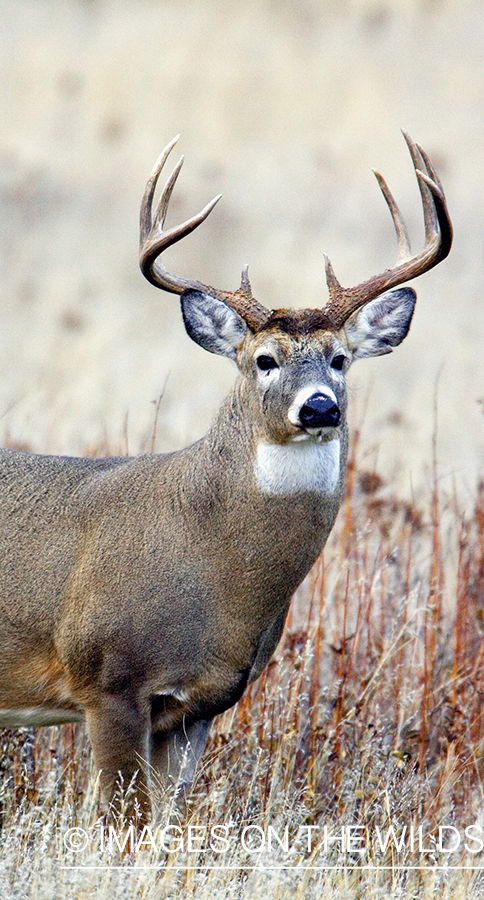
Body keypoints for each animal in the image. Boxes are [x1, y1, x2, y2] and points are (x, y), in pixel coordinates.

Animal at [0, 135, 454, 824]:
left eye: (340, 358)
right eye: (264, 360)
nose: (320, 408)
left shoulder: (198, 708)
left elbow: (166, 821)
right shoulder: (106, 677)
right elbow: (122, 819)